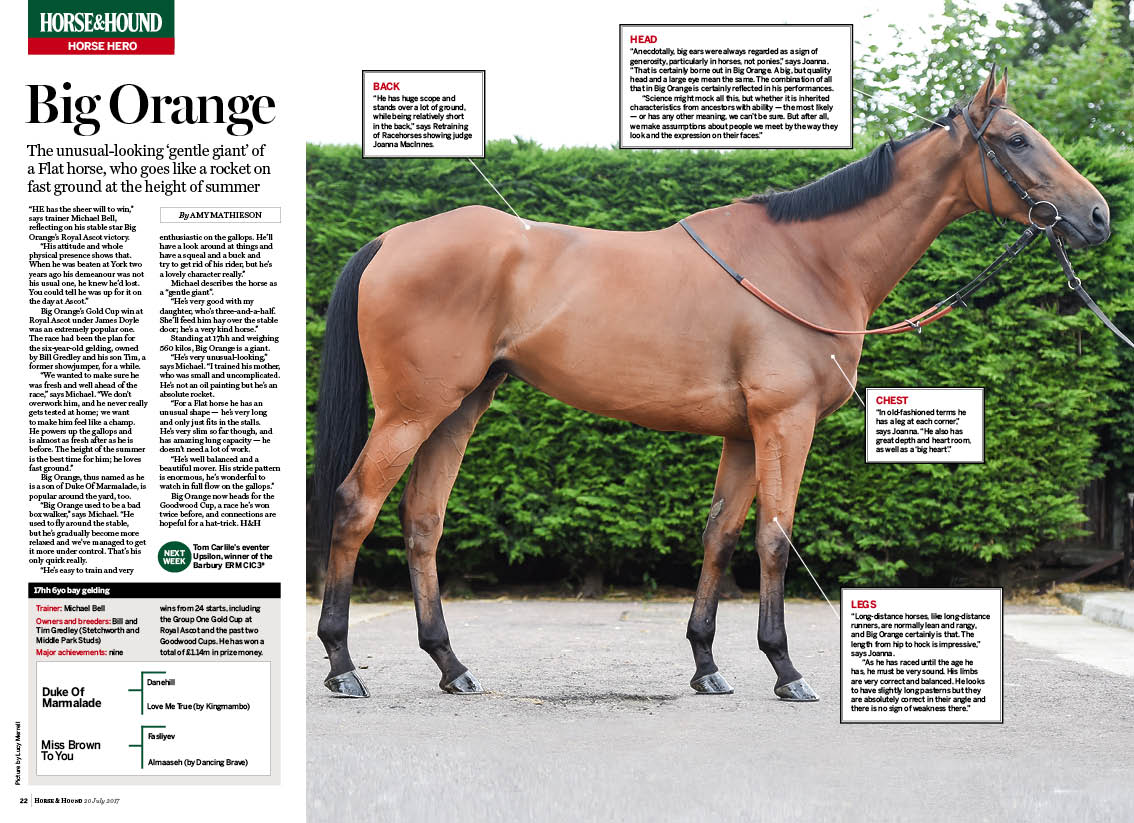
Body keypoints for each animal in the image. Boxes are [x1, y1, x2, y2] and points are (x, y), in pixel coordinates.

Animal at [310, 68, 1110, 701]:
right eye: (1016, 140)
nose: (1098, 215)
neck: (811, 260)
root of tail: (390, 239)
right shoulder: (786, 421)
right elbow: (775, 537)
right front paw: (786, 669)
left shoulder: (745, 433)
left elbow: (721, 536)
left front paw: (706, 664)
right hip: (413, 410)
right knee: (356, 507)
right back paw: (344, 665)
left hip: (460, 407)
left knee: (422, 521)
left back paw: (451, 664)